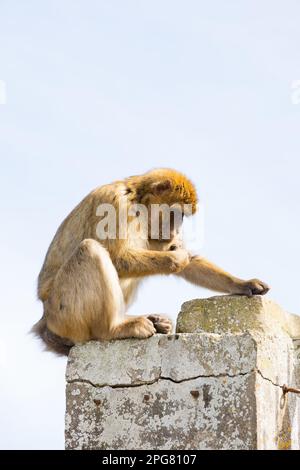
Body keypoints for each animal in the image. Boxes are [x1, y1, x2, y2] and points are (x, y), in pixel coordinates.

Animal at [32, 167, 270, 354]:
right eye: (176, 214)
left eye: (182, 217)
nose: (177, 230)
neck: (137, 204)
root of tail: (45, 321)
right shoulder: (115, 203)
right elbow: (117, 258)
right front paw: (176, 257)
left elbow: (190, 262)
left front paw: (242, 284)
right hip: (64, 316)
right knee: (90, 250)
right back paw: (111, 329)